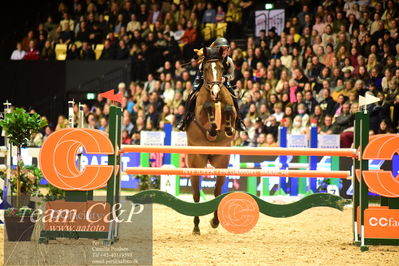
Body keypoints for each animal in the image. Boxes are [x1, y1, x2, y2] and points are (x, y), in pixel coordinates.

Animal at [187, 46, 239, 234]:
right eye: (207, 69)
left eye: (222, 69)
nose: (216, 92)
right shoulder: (200, 113)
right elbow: (208, 108)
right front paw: (212, 128)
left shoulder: (231, 109)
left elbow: (230, 109)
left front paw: (228, 129)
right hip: (196, 163)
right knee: (196, 195)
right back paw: (196, 227)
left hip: (221, 162)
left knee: (217, 192)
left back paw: (215, 222)